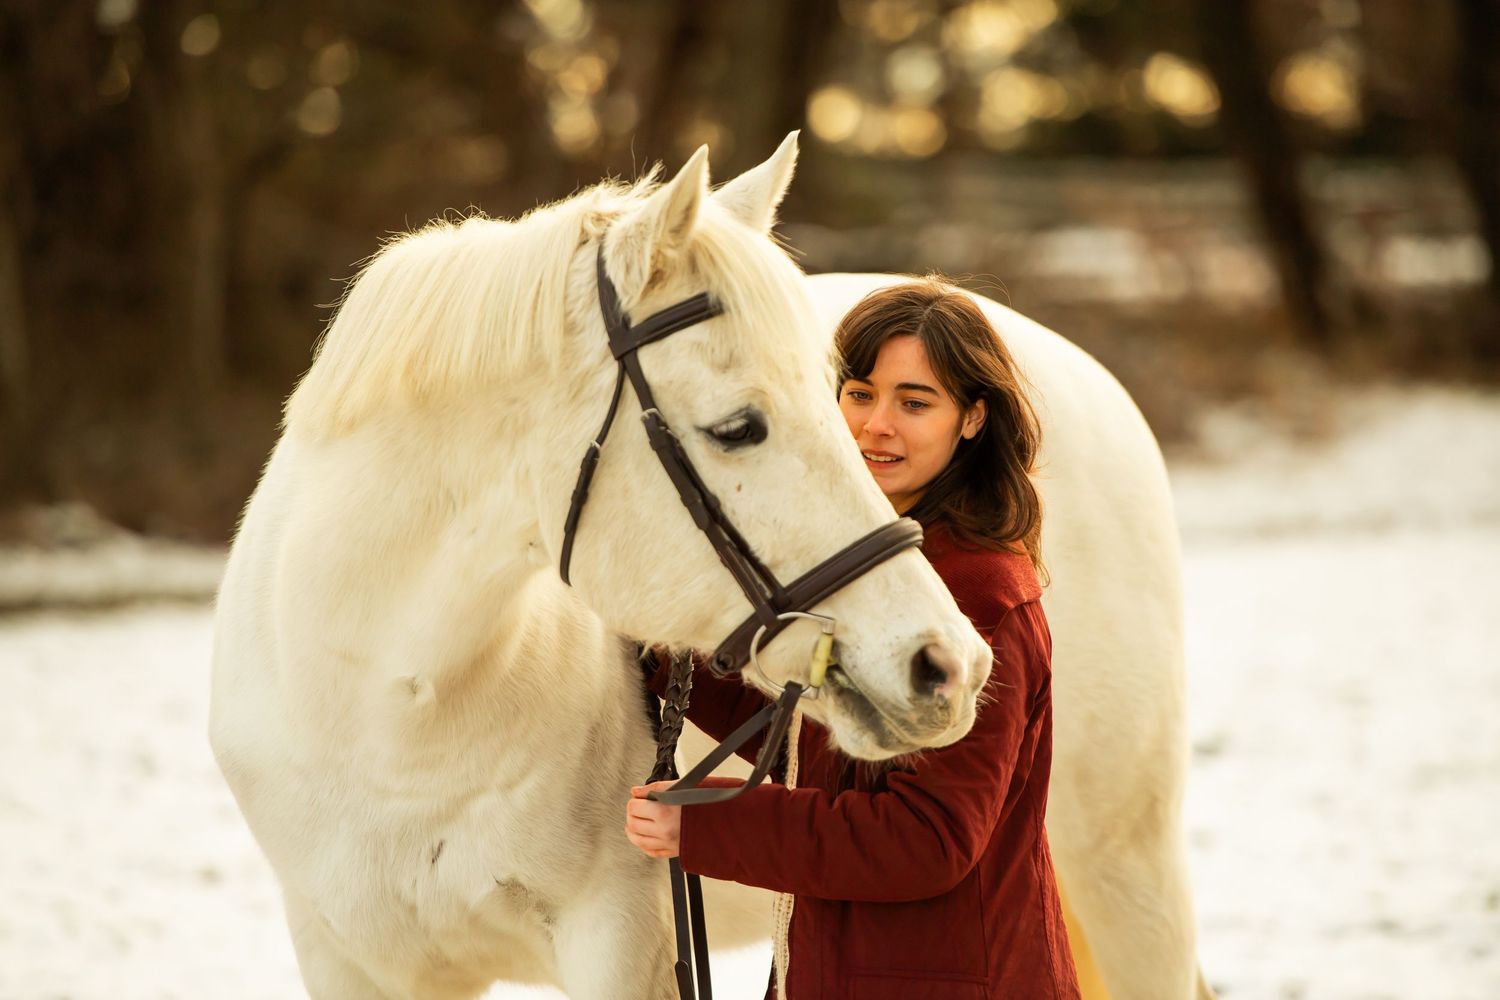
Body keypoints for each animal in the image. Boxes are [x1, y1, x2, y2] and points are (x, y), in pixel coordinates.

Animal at [210, 133, 997, 1000]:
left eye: (841, 403)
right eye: (737, 428)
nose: (948, 665)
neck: (392, 718)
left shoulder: (615, 939)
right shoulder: (346, 955)